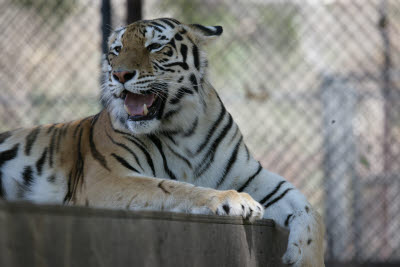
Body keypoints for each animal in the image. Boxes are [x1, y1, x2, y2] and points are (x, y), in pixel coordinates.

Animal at [0, 17, 324, 266]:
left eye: (154, 47)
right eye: (116, 50)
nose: (119, 74)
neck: (185, 128)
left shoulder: (250, 175)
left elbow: (308, 210)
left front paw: (305, 257)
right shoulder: (106, 176)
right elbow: (174, 187)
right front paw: (234, 201)